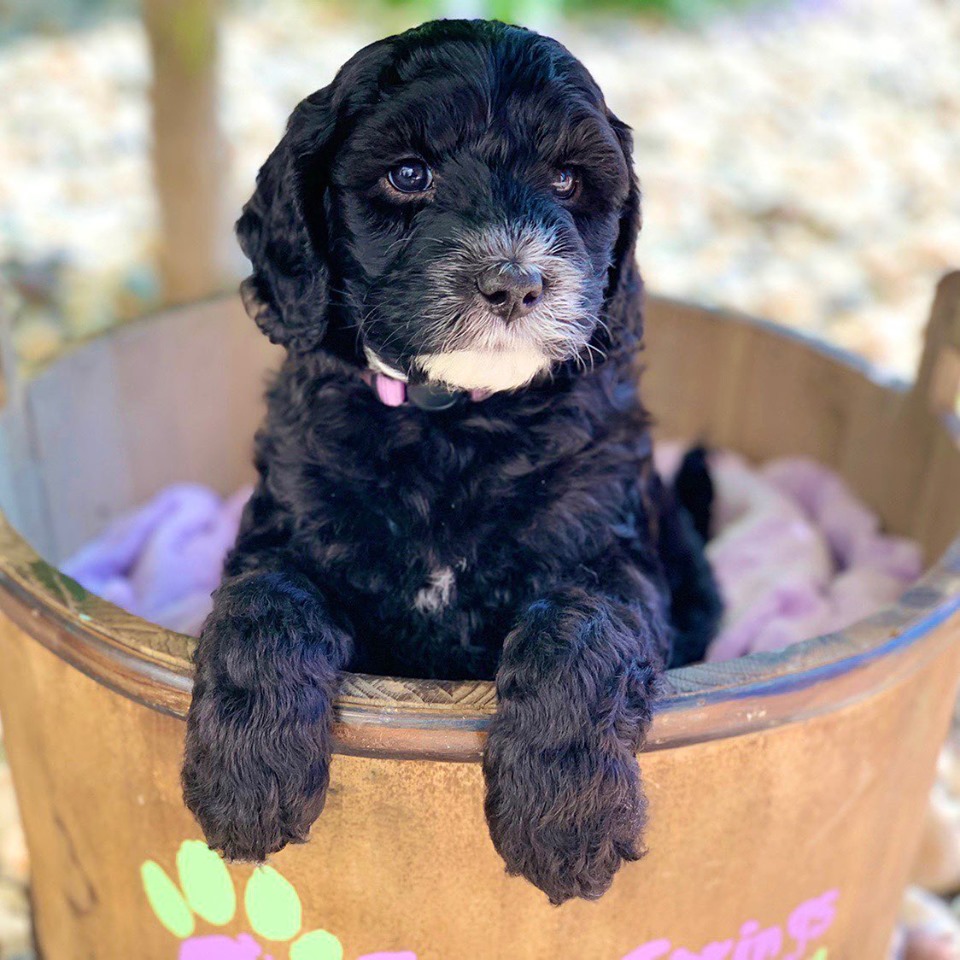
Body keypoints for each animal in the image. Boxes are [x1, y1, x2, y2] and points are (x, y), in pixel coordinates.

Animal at [182, 22, 720, 908]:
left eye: (567, 178)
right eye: (409, 175)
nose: (514, 281)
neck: (454, 420)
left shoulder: (610, 553)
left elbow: (582, 630)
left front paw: (566, 815)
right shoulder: (287, 528)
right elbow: (262, 607)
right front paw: (247, 774)